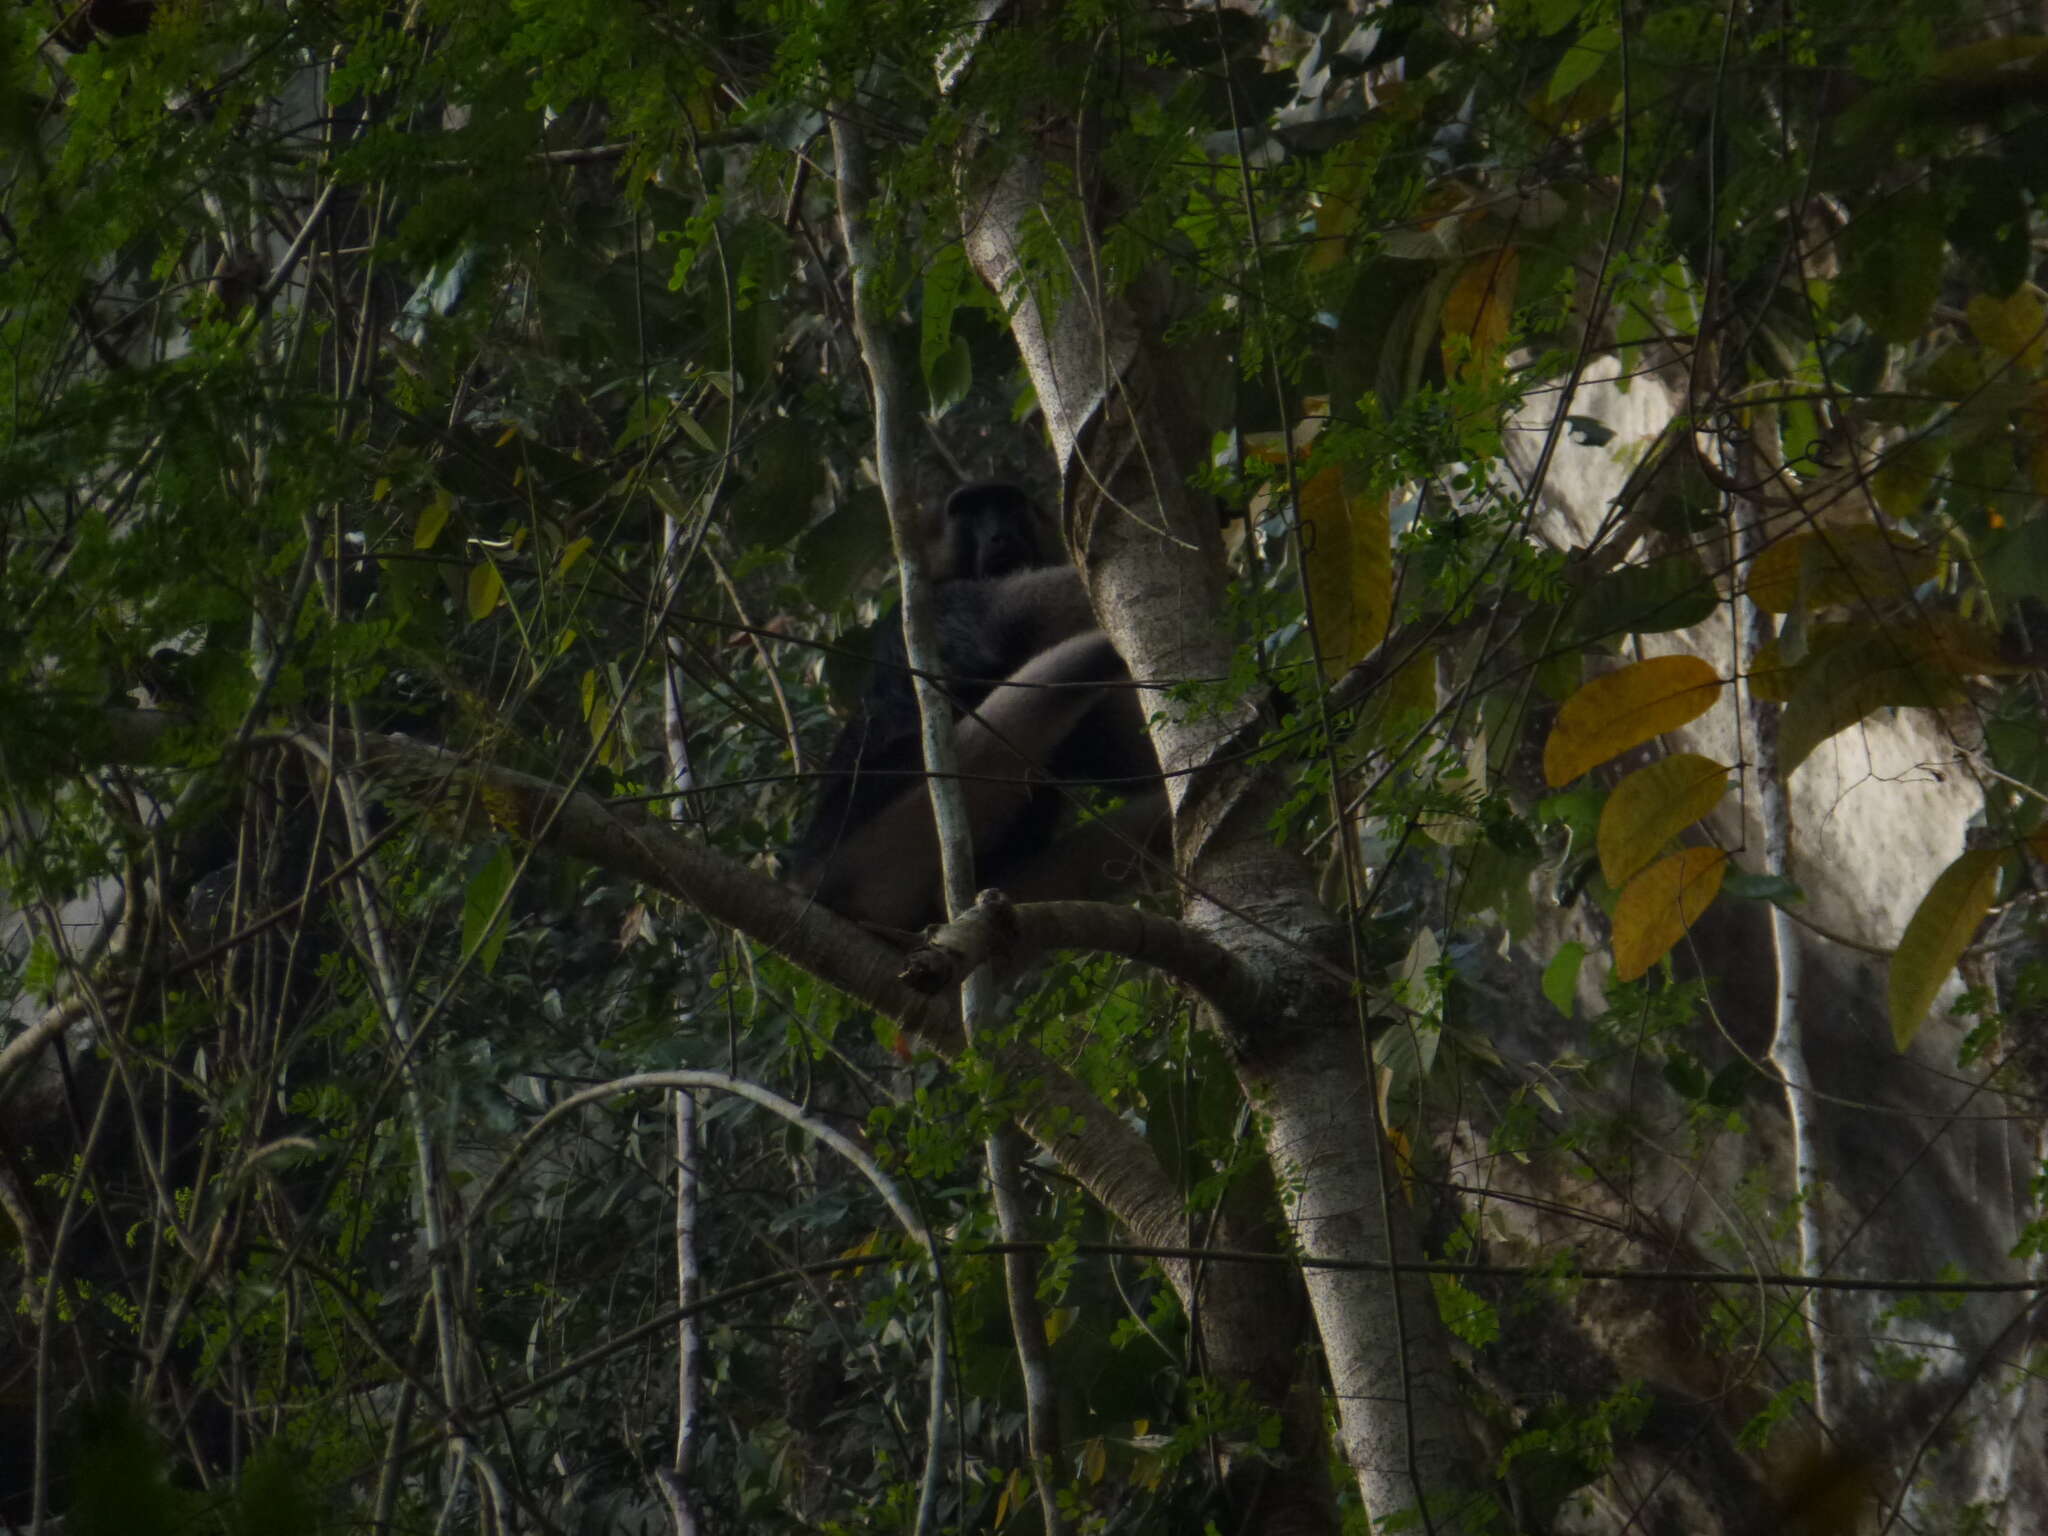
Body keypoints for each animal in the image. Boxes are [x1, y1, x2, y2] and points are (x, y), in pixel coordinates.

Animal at [790, 487, 1163, 933]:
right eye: (970, 512)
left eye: (1012, 508)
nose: (1001, 535)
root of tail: (808, 880)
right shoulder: (941, 603)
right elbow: (1028, 611)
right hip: (877, 847)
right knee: (1073, 668)